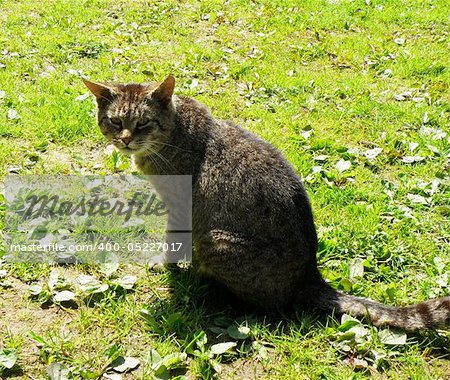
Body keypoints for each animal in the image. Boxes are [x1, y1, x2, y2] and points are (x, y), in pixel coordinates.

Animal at [84, 74, 450, 330]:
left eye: (142, 122)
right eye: (115, 121)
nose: (125, 140)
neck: (174, 133)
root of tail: (311, 276)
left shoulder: (179, 209)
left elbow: (173, 244)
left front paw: (166, 265)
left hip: (215, 240)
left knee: (265, 305)